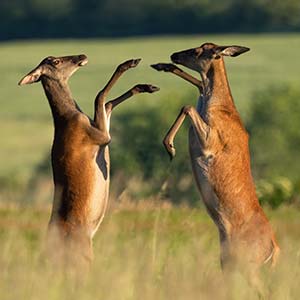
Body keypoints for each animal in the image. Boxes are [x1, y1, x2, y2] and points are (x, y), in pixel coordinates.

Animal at [18, 55, 159, 268]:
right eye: (55, 61)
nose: (81, 56)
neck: (70, 117)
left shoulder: (99, 129)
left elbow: (107, 104)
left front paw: (146, 86)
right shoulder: (100, 136)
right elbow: (100, 97)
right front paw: (130, 64)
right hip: (83, 255)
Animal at [151, 42, 280, 290]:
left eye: (199, 51)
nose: (174, 55)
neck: (219, 107)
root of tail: (275, 249)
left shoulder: (212, 140)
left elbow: (188, 105)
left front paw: (169, 146)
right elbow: (199, 86)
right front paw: (161, 66)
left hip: (248, 263)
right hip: (228, 262)